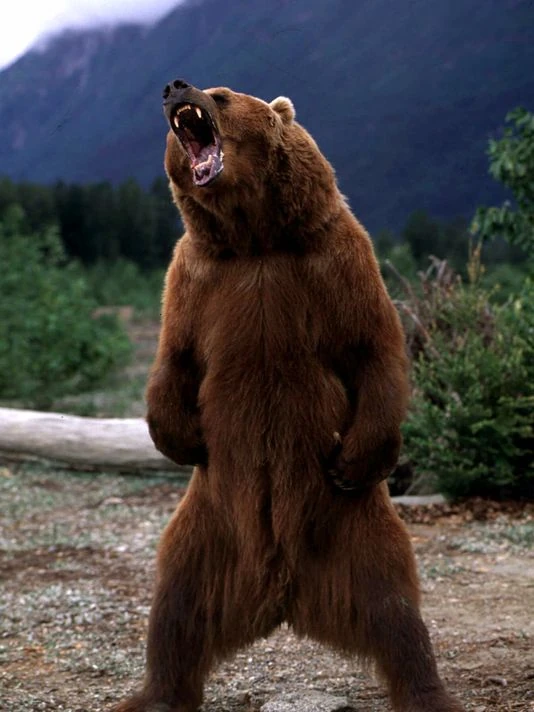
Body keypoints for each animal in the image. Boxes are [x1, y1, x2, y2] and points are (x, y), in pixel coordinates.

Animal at [113, 79, 464, 712]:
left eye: (222, 93)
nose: (174, 86)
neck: (256, 238)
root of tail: (281, 594)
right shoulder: (197, 276)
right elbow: (175, 356)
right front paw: (181, 438)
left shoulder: (335, 260)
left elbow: (373, 345)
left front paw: (356, 457)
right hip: (205, 532)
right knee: (175, 607)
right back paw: (153, 695)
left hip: (358, 531)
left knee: (397, 611)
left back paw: (428, 692)